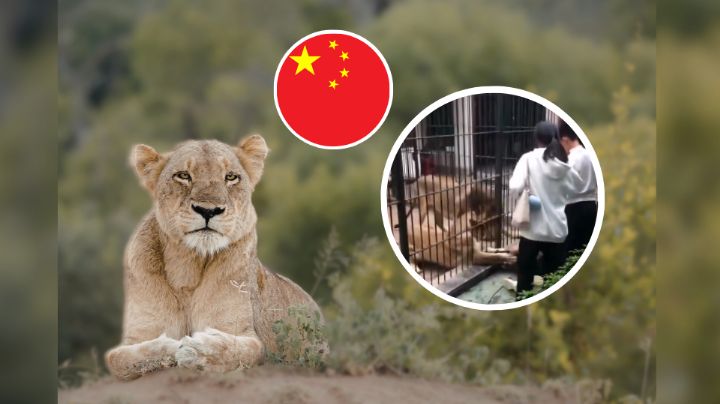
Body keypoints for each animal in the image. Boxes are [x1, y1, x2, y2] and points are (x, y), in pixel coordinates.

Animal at [105, 135, 326, 380]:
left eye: (230, 177)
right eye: (183, 175)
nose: (208, 210)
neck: (187, 268)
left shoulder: (245, 334)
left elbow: (241, 350)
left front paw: (196, 350)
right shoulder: (137, 335)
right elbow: (119, 359)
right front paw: (171, 346)